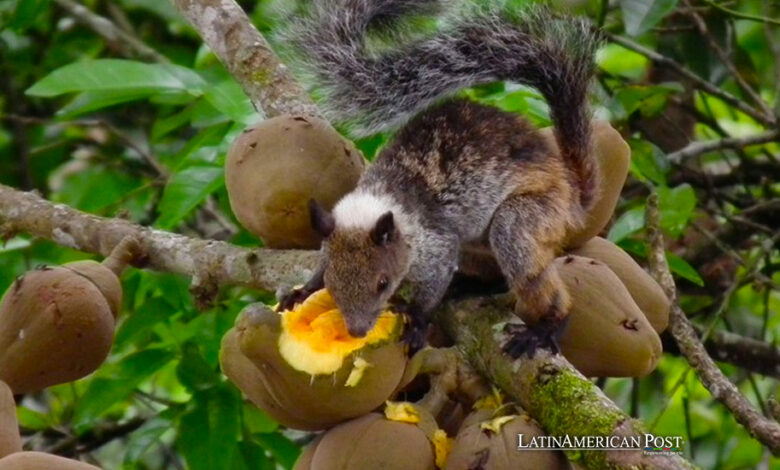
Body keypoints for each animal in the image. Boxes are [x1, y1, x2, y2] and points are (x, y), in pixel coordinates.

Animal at [278, 0, 600, 354]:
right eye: (332, 284)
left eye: (382, 284)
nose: (358, 331)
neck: (381, 197)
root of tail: (573, 193)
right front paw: (304, 290)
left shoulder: (434, 243)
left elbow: (434, 280)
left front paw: (417, 320)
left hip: (531, 215)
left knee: (522, 257)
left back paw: (545, 327)